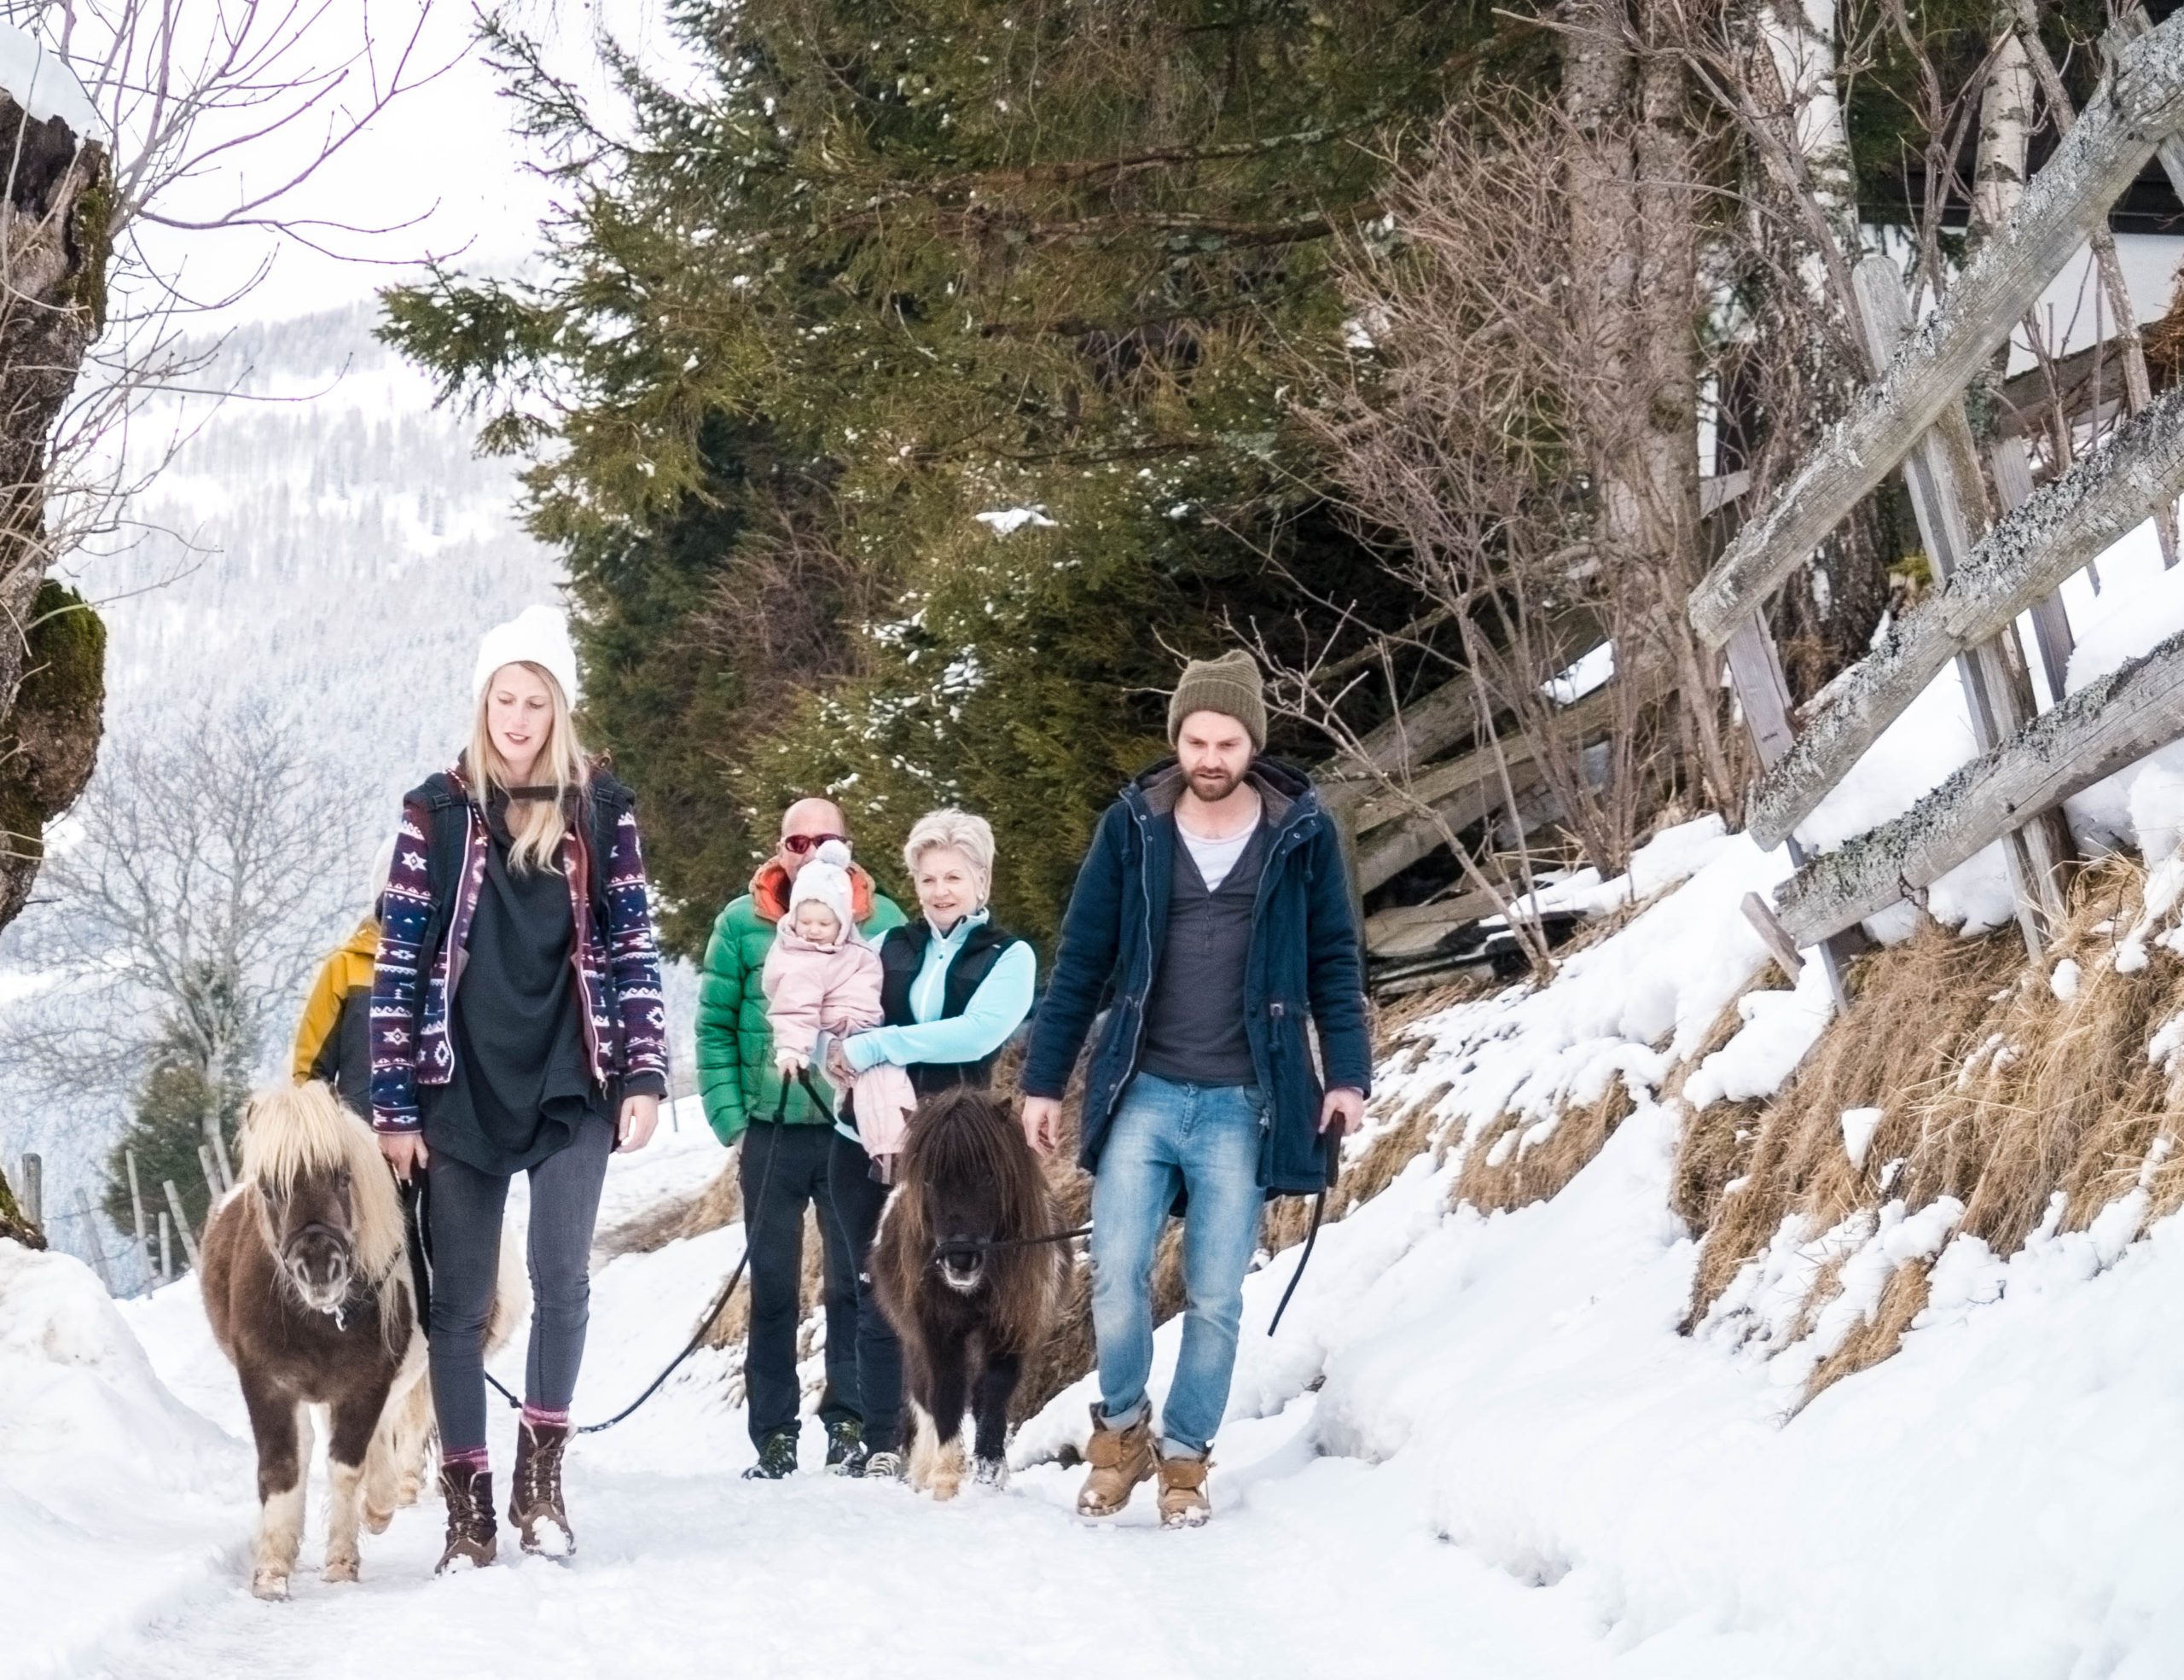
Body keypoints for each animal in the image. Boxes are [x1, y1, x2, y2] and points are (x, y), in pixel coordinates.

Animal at [874, 1088, 1070, 1494]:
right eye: (928, 1179)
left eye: (989, 1175)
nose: (960, 1260)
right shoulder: (935, 1330)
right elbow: (945, 1391)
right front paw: (946, 1478)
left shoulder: (1011, 1328)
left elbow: (992, 1393)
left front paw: (989, 1473)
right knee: (923, 1394)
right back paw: (923, 1469)